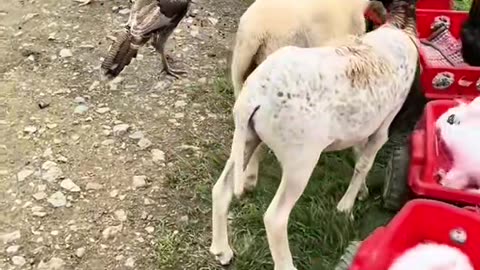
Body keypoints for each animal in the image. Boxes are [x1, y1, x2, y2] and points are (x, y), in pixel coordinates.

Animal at [211, 0, 420, 268]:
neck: (399, 30)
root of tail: (255, 98)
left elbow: (358, 150)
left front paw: (359, 193)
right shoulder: (383, 127)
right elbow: (363, 163)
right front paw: (346, 206)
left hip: (247, 136)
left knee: (221, 189)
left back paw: (222, 250)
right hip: (300, 159)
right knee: (275, 218)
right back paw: (285, 263)